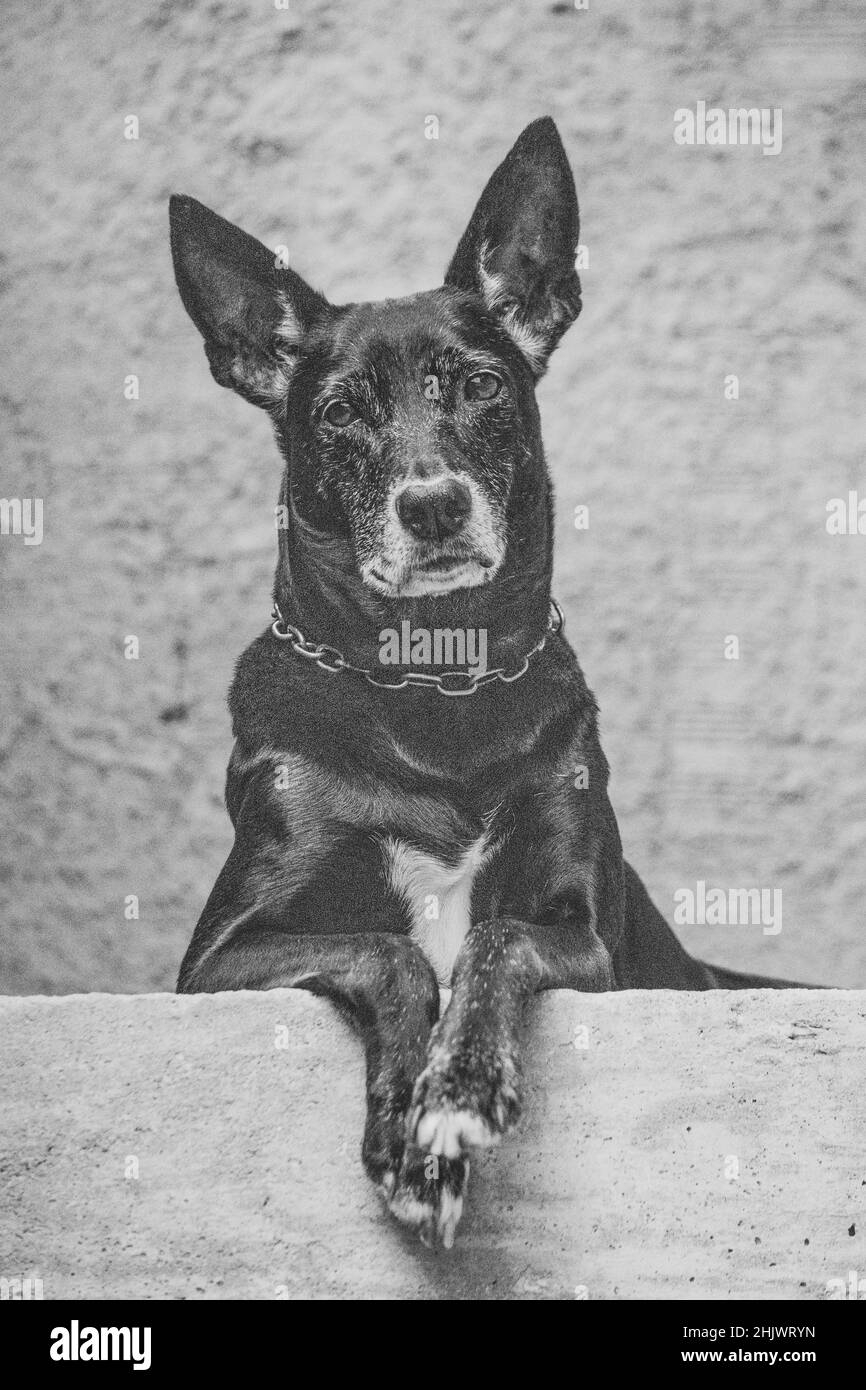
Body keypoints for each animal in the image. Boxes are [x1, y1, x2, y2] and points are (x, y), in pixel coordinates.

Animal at [169, 119, 806, 1251]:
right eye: (339, 413)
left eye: (478, 385)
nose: (431, 506)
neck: (437, 691)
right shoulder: (219, 957)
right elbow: (393, 951)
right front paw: (411, 1133)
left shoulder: (589, 936)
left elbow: (494, 939)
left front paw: (456, 1095)